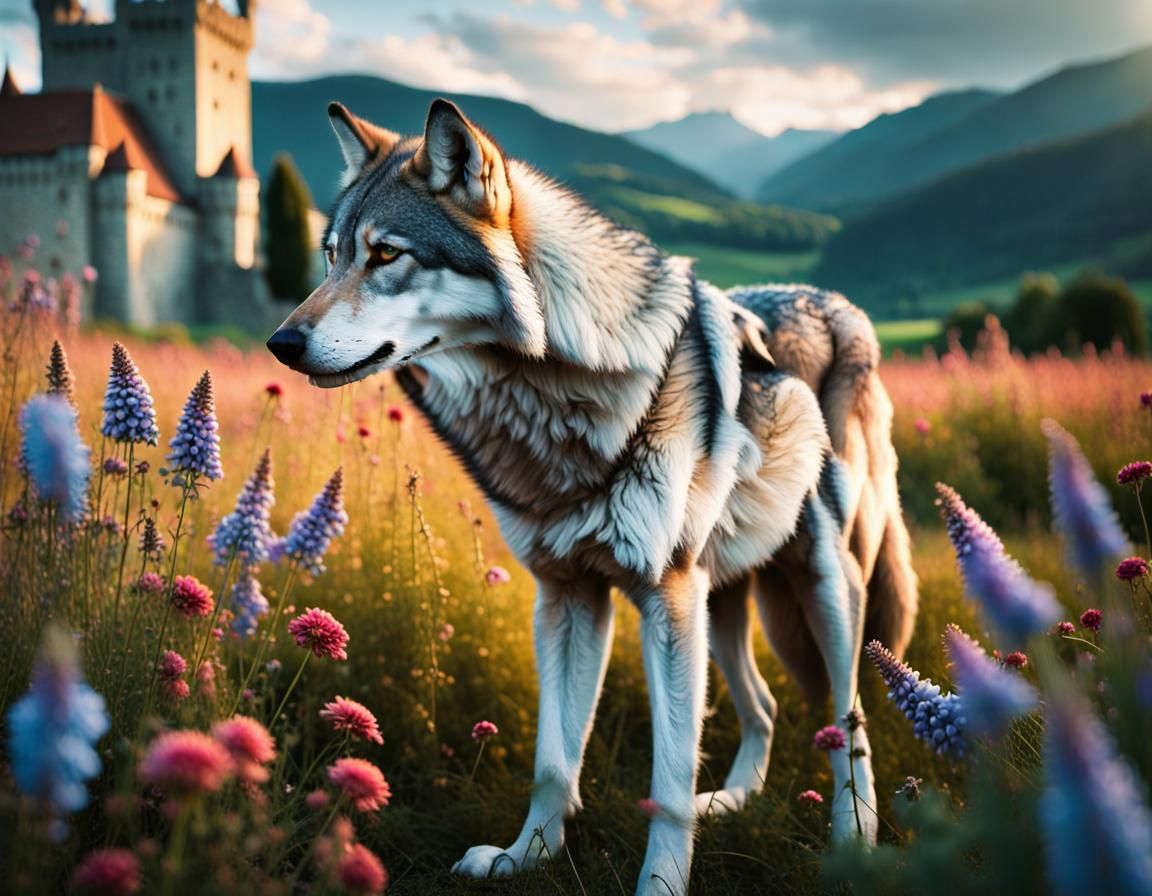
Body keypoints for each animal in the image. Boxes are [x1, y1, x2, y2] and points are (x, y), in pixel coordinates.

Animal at [266, 97, 918, 895]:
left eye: (386, 255)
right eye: (330, 256)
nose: (281, 344)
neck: (550, 393)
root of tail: (839, 309)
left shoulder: (664, 597)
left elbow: (666, 786)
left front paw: (660, 885)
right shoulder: (568, 594)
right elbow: (553, 761)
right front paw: (526, 856)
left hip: (823, 587)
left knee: (849, 720)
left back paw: (853, 842)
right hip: (722, 606)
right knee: (764, 707)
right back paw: (732, 801)